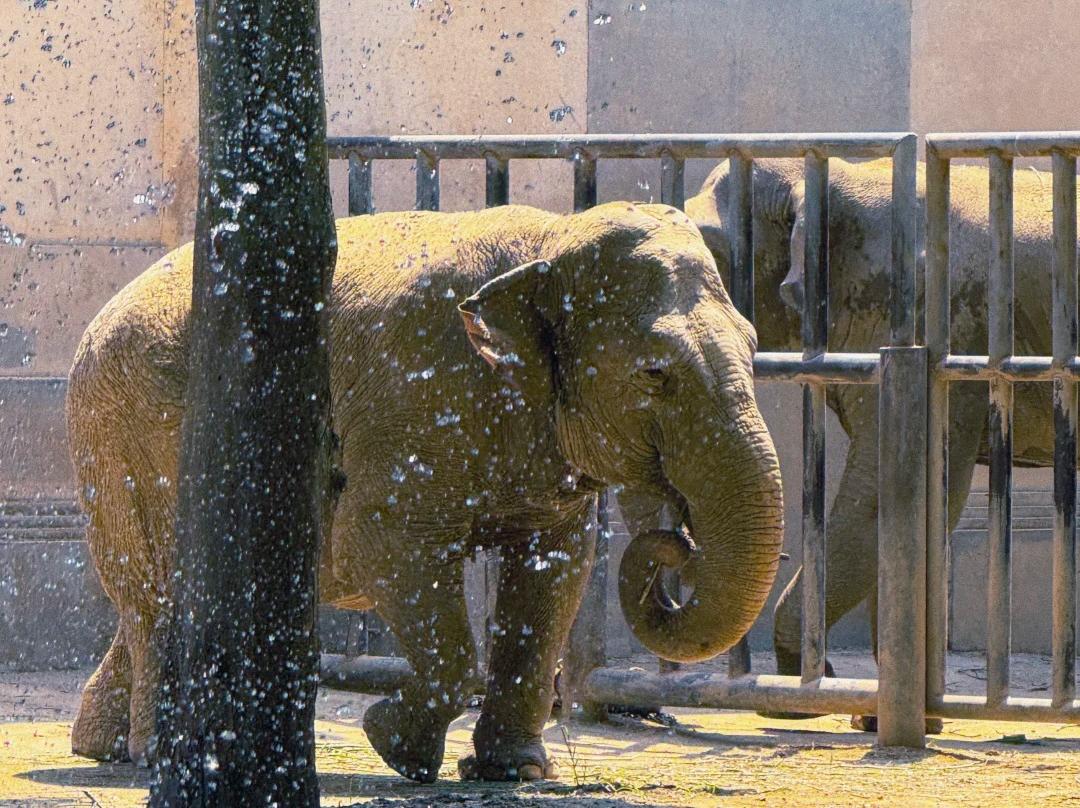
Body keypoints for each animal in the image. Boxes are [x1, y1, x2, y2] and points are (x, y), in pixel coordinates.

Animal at [67, 202, 784, 782]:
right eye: (655, 374)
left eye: (755, 344)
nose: (675, 540)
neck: (552, 239)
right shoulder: (418, 394)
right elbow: (380, 542)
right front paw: (396, 748)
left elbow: (555, 568)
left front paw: (515, 773)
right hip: (124, 433)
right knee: (161, 592)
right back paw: (160, 755)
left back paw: (100, 747)